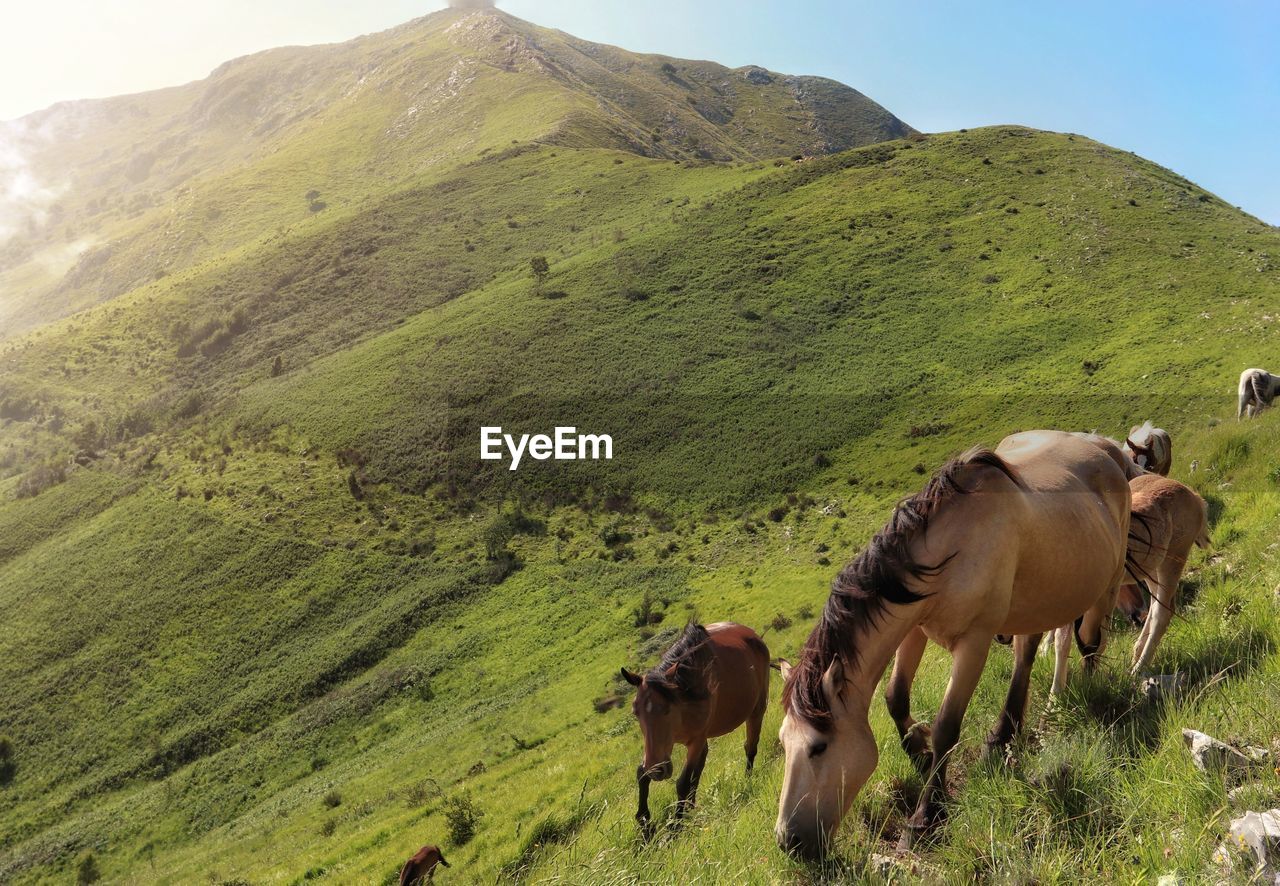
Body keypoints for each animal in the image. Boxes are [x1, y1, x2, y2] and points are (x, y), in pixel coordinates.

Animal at [622, 622, 768, 829]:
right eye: (636, 712)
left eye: (666, 709)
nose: (658, 771)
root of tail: (752, 634)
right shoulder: (659, 750)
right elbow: (642, 773)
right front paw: (644, 822)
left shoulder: (696, 740)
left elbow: (683, 781)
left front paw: (675, 826)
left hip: (757, 710)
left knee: (750, 747)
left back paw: (746, 778)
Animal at [768, 430, 1131, 860]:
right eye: (783, 743)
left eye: (819, 747)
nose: (788, 841)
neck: (953, 547)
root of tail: (1108, 451)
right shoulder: (914, 629)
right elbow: (895, 699)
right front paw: (922, 757)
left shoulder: (974, 642)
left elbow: (946, 726)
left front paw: (926, 817)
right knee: (1026, 655)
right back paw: (1001, 737)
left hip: (1107, 587)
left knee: (1090, 645)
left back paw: (1086, 696)